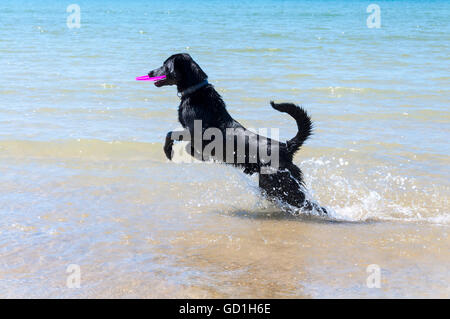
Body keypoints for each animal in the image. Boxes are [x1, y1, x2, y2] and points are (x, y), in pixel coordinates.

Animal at [148, 53, 326, 215]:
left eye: (164, 65)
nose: (149, 72)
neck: (196, 92)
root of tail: (286, 146)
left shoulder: (196, 132)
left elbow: (172, 135)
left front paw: (170, 151)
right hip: (272, 185)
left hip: (280, 182)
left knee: (309, 204)